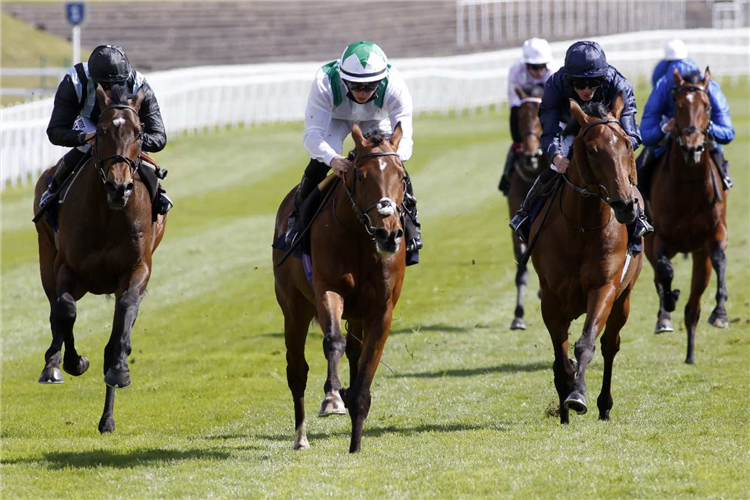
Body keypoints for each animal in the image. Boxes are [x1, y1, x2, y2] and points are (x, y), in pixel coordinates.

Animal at [33, 85, 167, 434]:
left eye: (139, 132)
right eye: (103, 131)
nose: (119, 187)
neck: (109, 214)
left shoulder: (137, 269)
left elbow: (123, 320)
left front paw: (119, 368)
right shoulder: (67, 268)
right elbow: (65, 311)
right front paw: (73, 362)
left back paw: (107, 417)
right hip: (46, 258)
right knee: (55, 310)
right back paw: (52, 366)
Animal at [274, 122, 408, 454]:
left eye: (401, 175)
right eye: (361, 175)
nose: (388, 235)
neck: (361, 237)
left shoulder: (380, 310)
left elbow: (364, 373)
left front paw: (355, 444)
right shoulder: (328, 290)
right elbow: (333, 341)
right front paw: (333, 396)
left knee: (354, 354)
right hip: (293, 309)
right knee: (297, 370)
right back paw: (301, 437)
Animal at [528, 93, 648, 422]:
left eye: (627, 144)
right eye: (593, 150)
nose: (626, 206)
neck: (581, 227)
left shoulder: (604, 287)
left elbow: (586, 344)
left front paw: (578, 396)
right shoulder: (551, 298)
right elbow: (561, 359)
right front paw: (564, 404)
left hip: (625, 298)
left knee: (610, 345)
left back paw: (604, 405)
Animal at [648, 66, 728, 364]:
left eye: (707, 106)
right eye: (678, 106)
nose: (692, 148)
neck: (689, 190)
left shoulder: (715, 233)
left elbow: (719, 259)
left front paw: (720, 313)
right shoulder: (658, 238)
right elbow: (665, 270)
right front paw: (668, 304)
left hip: (698, 258)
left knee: (693, 307)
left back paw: (691, 354)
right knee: (659, 276)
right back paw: (665, 315)